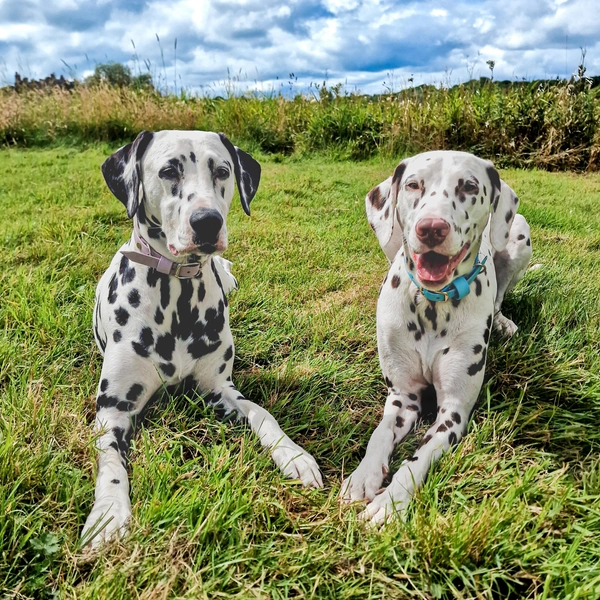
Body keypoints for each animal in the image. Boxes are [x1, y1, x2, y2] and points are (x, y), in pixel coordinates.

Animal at [83, 131, 324, 548]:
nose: (208, 221)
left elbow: (262, 413)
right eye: (168, 171)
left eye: (222, 170)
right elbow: (110, 461)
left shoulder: (218, 389)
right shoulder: (113, 408)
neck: (176, 297)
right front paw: (109, 512)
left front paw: (293, 455)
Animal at [340, 151, 532, 524]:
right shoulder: (402, 397)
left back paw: (503, 322)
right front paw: (362, 476)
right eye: (414, 184)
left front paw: (389, 502)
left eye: (469, 186)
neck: (431, 305)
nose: (431, 228)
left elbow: (417, 460)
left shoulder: (453, 413)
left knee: (501, 293)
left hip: (518, 235)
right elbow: (379, 434)